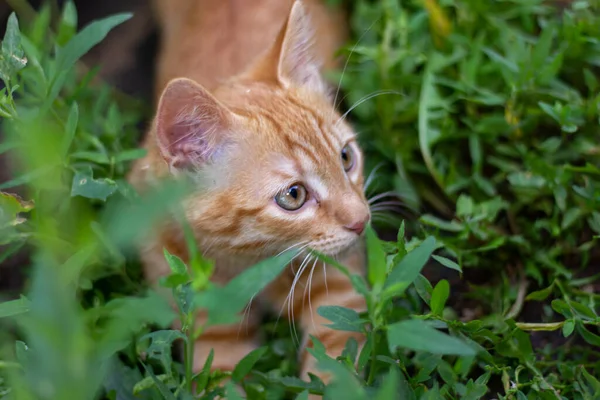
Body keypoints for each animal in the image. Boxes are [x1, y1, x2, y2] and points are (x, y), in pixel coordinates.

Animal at [129, 0, 368, 388]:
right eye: (293, 195)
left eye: (346, 158)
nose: (362, 221)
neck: (247, 260)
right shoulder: (207, 323)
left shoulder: (338, 287)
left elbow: (335, 365)